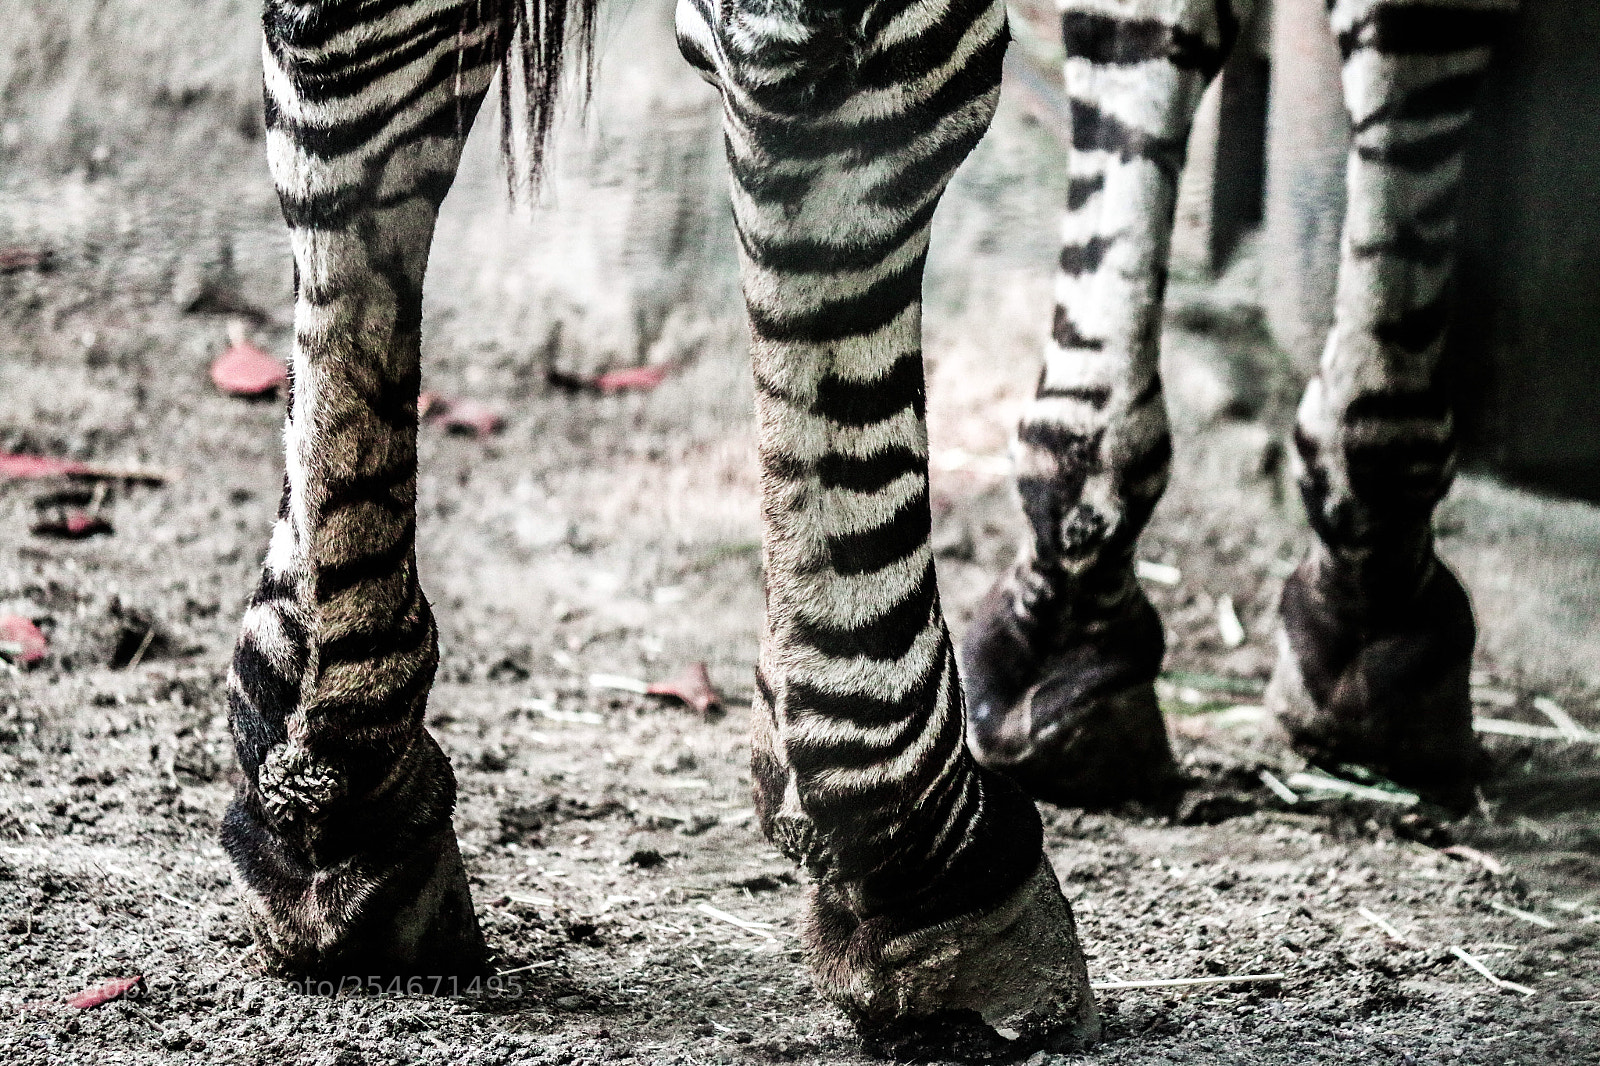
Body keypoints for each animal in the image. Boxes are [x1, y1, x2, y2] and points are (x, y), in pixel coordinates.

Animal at [221, 0, 1513, 1055]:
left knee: (354, 76)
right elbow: (1407, 32)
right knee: (839, 102)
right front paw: (1373, 578)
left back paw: (339, 770)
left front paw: (1069, 594)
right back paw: (929, 854)